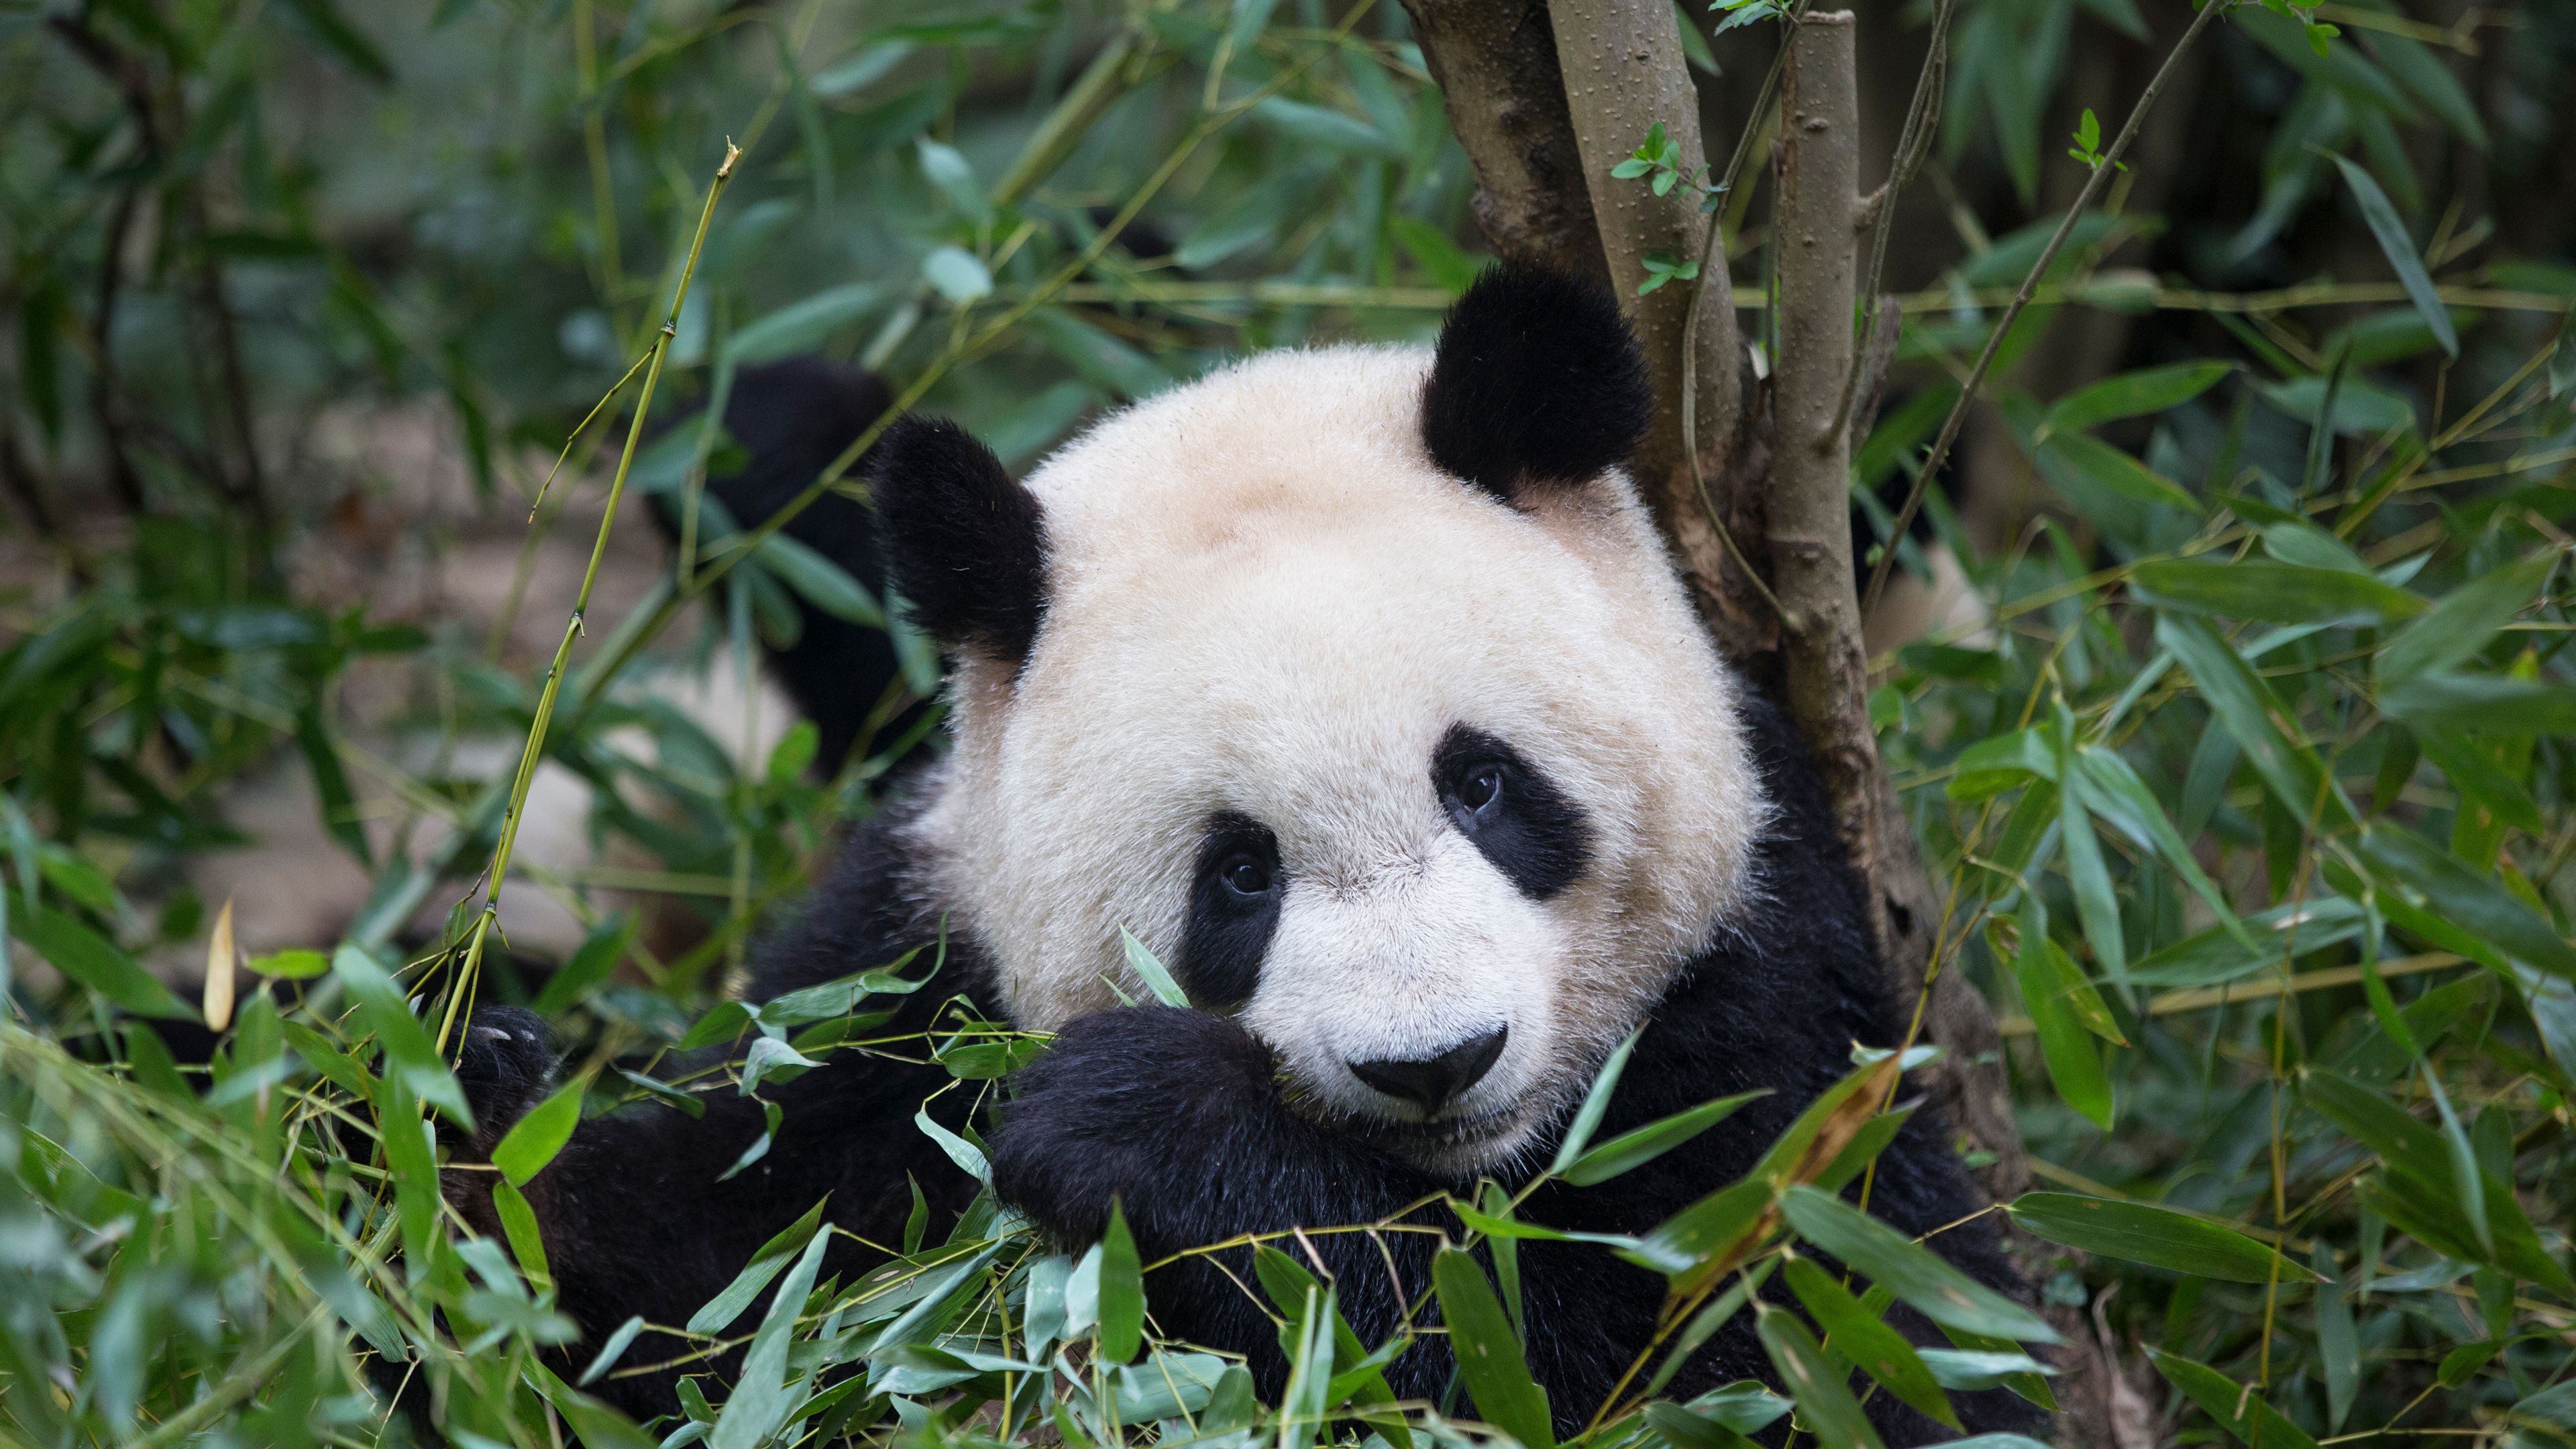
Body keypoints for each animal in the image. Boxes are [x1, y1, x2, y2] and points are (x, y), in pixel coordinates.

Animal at [458, 265, 2029, 1433]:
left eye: (1483, 785)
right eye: (1239, 872)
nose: (1434, 1062)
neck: (1469, 1174)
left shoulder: (1776, 1009)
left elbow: (1780, 1356)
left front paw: (1147, 1126)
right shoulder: (906, 990)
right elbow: (689, 1263)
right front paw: (459, 1106)